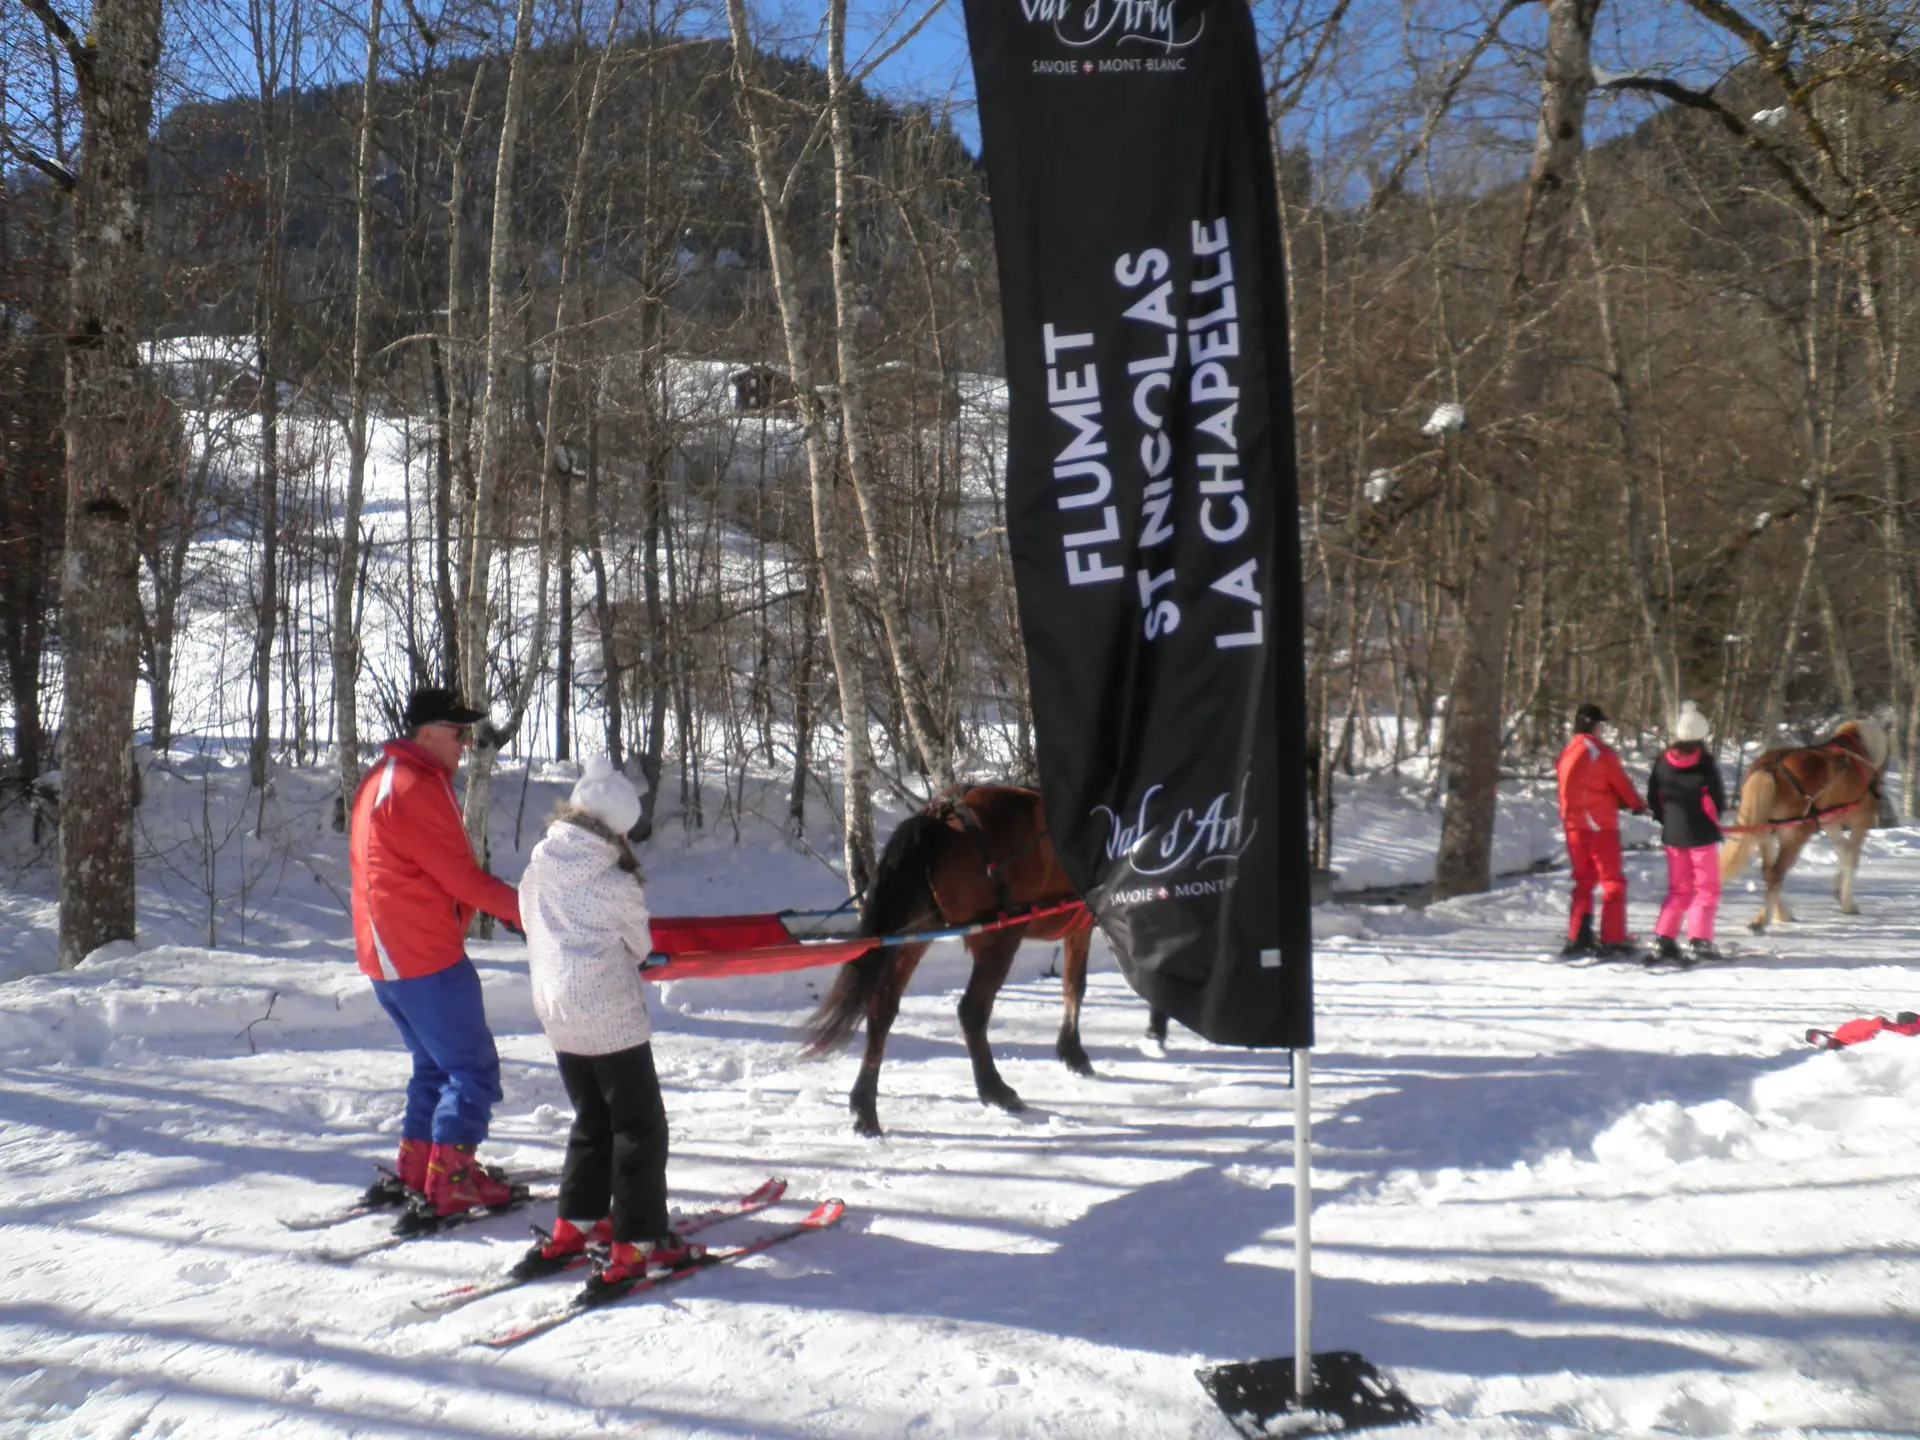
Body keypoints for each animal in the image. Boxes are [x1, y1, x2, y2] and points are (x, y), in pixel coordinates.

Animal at [801, 785, 1095, 1137]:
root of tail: (939, 817)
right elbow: (1080, 985)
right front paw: (1075, 1053)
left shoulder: (1081, 925)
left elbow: (1073, 984)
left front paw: (1070, 1051)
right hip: (999, 936)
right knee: (972, 1010)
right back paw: (994, 1089)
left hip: (916, 934)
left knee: (882, 1008)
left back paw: (865, 1108)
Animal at [1719, 718, 1888, 932]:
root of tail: (1770, 767)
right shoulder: (1861, 820)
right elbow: (1851, 857)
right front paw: (1848, 904)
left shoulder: (1829, 822)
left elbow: (1844, 850)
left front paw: (1838, 890)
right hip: (1794, 833)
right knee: (1776, 873)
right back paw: (1762, 920)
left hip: (1766, 832)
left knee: (1768, 871)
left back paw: (1780, 914)